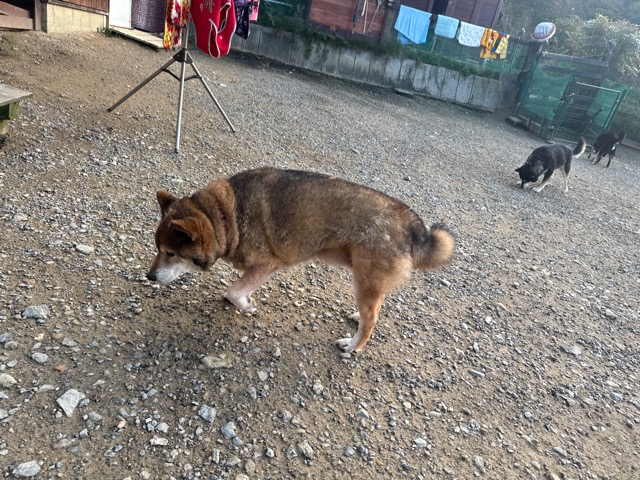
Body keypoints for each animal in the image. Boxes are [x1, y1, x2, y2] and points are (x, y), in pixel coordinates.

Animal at [146, 167, 455, 353]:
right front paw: (244, 300)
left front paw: (246, 305)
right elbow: (234, 290)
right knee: (375, 308)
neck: (224, 216)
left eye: (170, 253)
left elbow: (232, 291)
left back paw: (353, 345)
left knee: (371, 321)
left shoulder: (267, 264)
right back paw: (357, 316)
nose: (149, 277)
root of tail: (413, 225)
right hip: (364, 276)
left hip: (363, 278)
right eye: (157, 249)